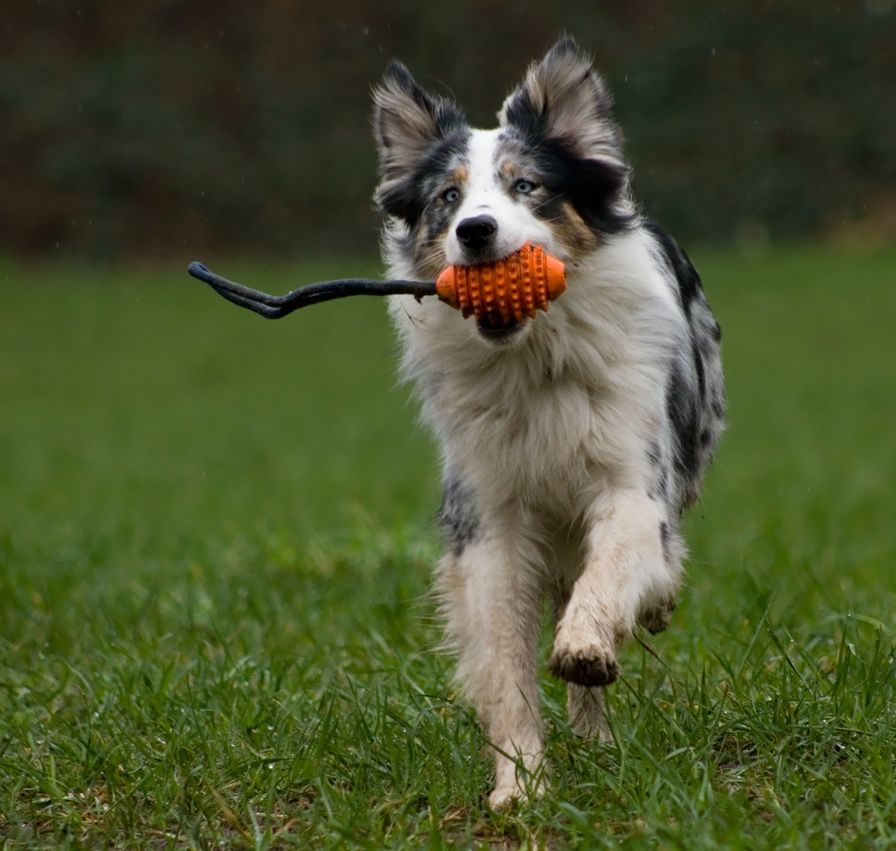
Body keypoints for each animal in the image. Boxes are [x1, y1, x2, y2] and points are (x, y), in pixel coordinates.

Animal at [372, 35, 728, 804]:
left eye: (527, 186)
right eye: (447, 197)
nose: (475, 231)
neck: (535, 354)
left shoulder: (633, 480)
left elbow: (618, 562)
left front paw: (587, 641)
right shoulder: (488, 518)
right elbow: (505, 663)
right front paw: (521, 786)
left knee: (655, 559)